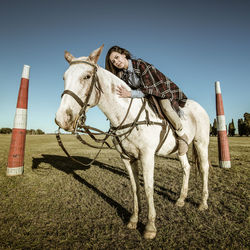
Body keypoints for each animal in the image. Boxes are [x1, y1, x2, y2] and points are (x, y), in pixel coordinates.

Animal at [55, 45, 210, 240]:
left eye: (87, 76)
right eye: (64, 77)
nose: (62, 119)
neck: (127, 116)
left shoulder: (147, 156)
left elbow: (148, 188)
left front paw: (150, 227)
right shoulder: (127, 158)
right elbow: (135, 187)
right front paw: (134, 220)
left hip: (201, 143)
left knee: (204, 168)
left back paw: (203, 203)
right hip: (179, 150)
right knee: (186, 168)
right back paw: (181, 200)